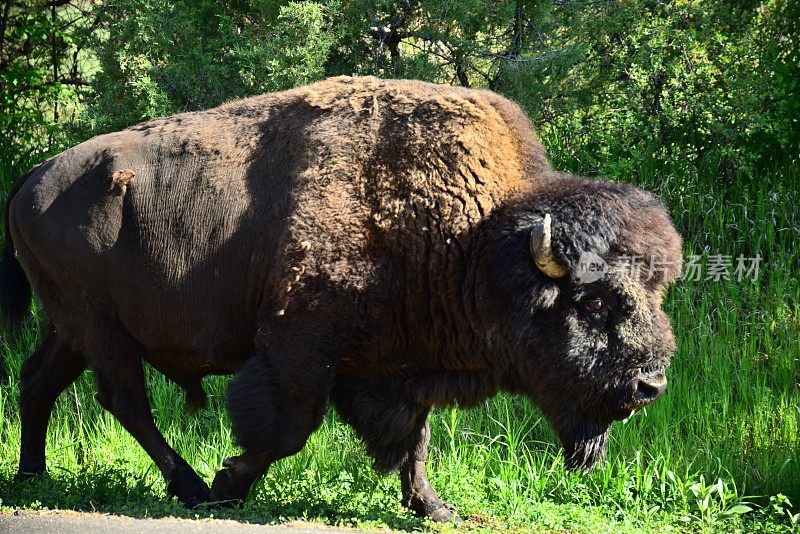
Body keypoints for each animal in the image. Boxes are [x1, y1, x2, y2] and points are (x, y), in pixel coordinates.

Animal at [1, 76, 680, 524]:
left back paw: (32, 475)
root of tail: (31, 179)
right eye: (593, 304)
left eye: (656, 290)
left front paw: (437, 508)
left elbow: (411, 439)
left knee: (40, 382)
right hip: (99, 326)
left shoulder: (400, 363)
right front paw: (228, 484)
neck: (476, 243)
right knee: (124, 399)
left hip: (71, 327)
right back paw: (188, 487)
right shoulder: (299, 346)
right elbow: (288, 427)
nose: (650, 385)